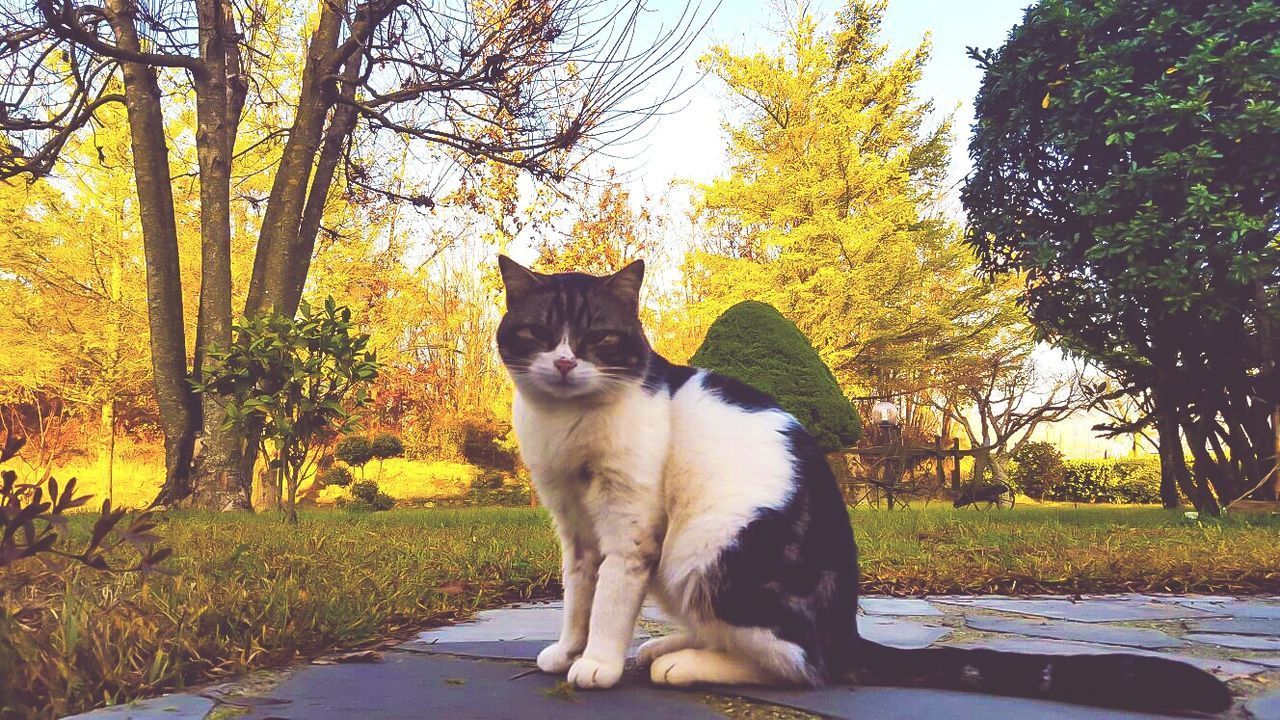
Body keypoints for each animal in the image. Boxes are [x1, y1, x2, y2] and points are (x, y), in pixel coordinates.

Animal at [496, 254, 1228, 712]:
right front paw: (568, 648)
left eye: (597, 337)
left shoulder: (632, 526)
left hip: (700, 547)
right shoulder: (574, 529)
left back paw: (684, 662)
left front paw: (598, 661)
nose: (564, 363)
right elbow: (578, 594)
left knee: (805, 663)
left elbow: (612, 600)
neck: (569, 428)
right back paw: (675, 644)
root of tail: (846, 622)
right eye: (538, 333)